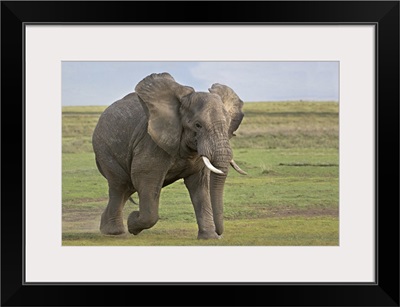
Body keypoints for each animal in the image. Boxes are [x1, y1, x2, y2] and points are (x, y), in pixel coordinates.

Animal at [92, 73, 245, 241]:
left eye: (228, 124)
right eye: (198, 125)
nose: (219, 233)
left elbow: (199, 185)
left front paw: (209, 238)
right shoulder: (150, 142)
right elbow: (146, 178)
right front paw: (132, 222)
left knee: (127, 188)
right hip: (105, 149)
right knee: (120, 185)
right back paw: (115, 231)